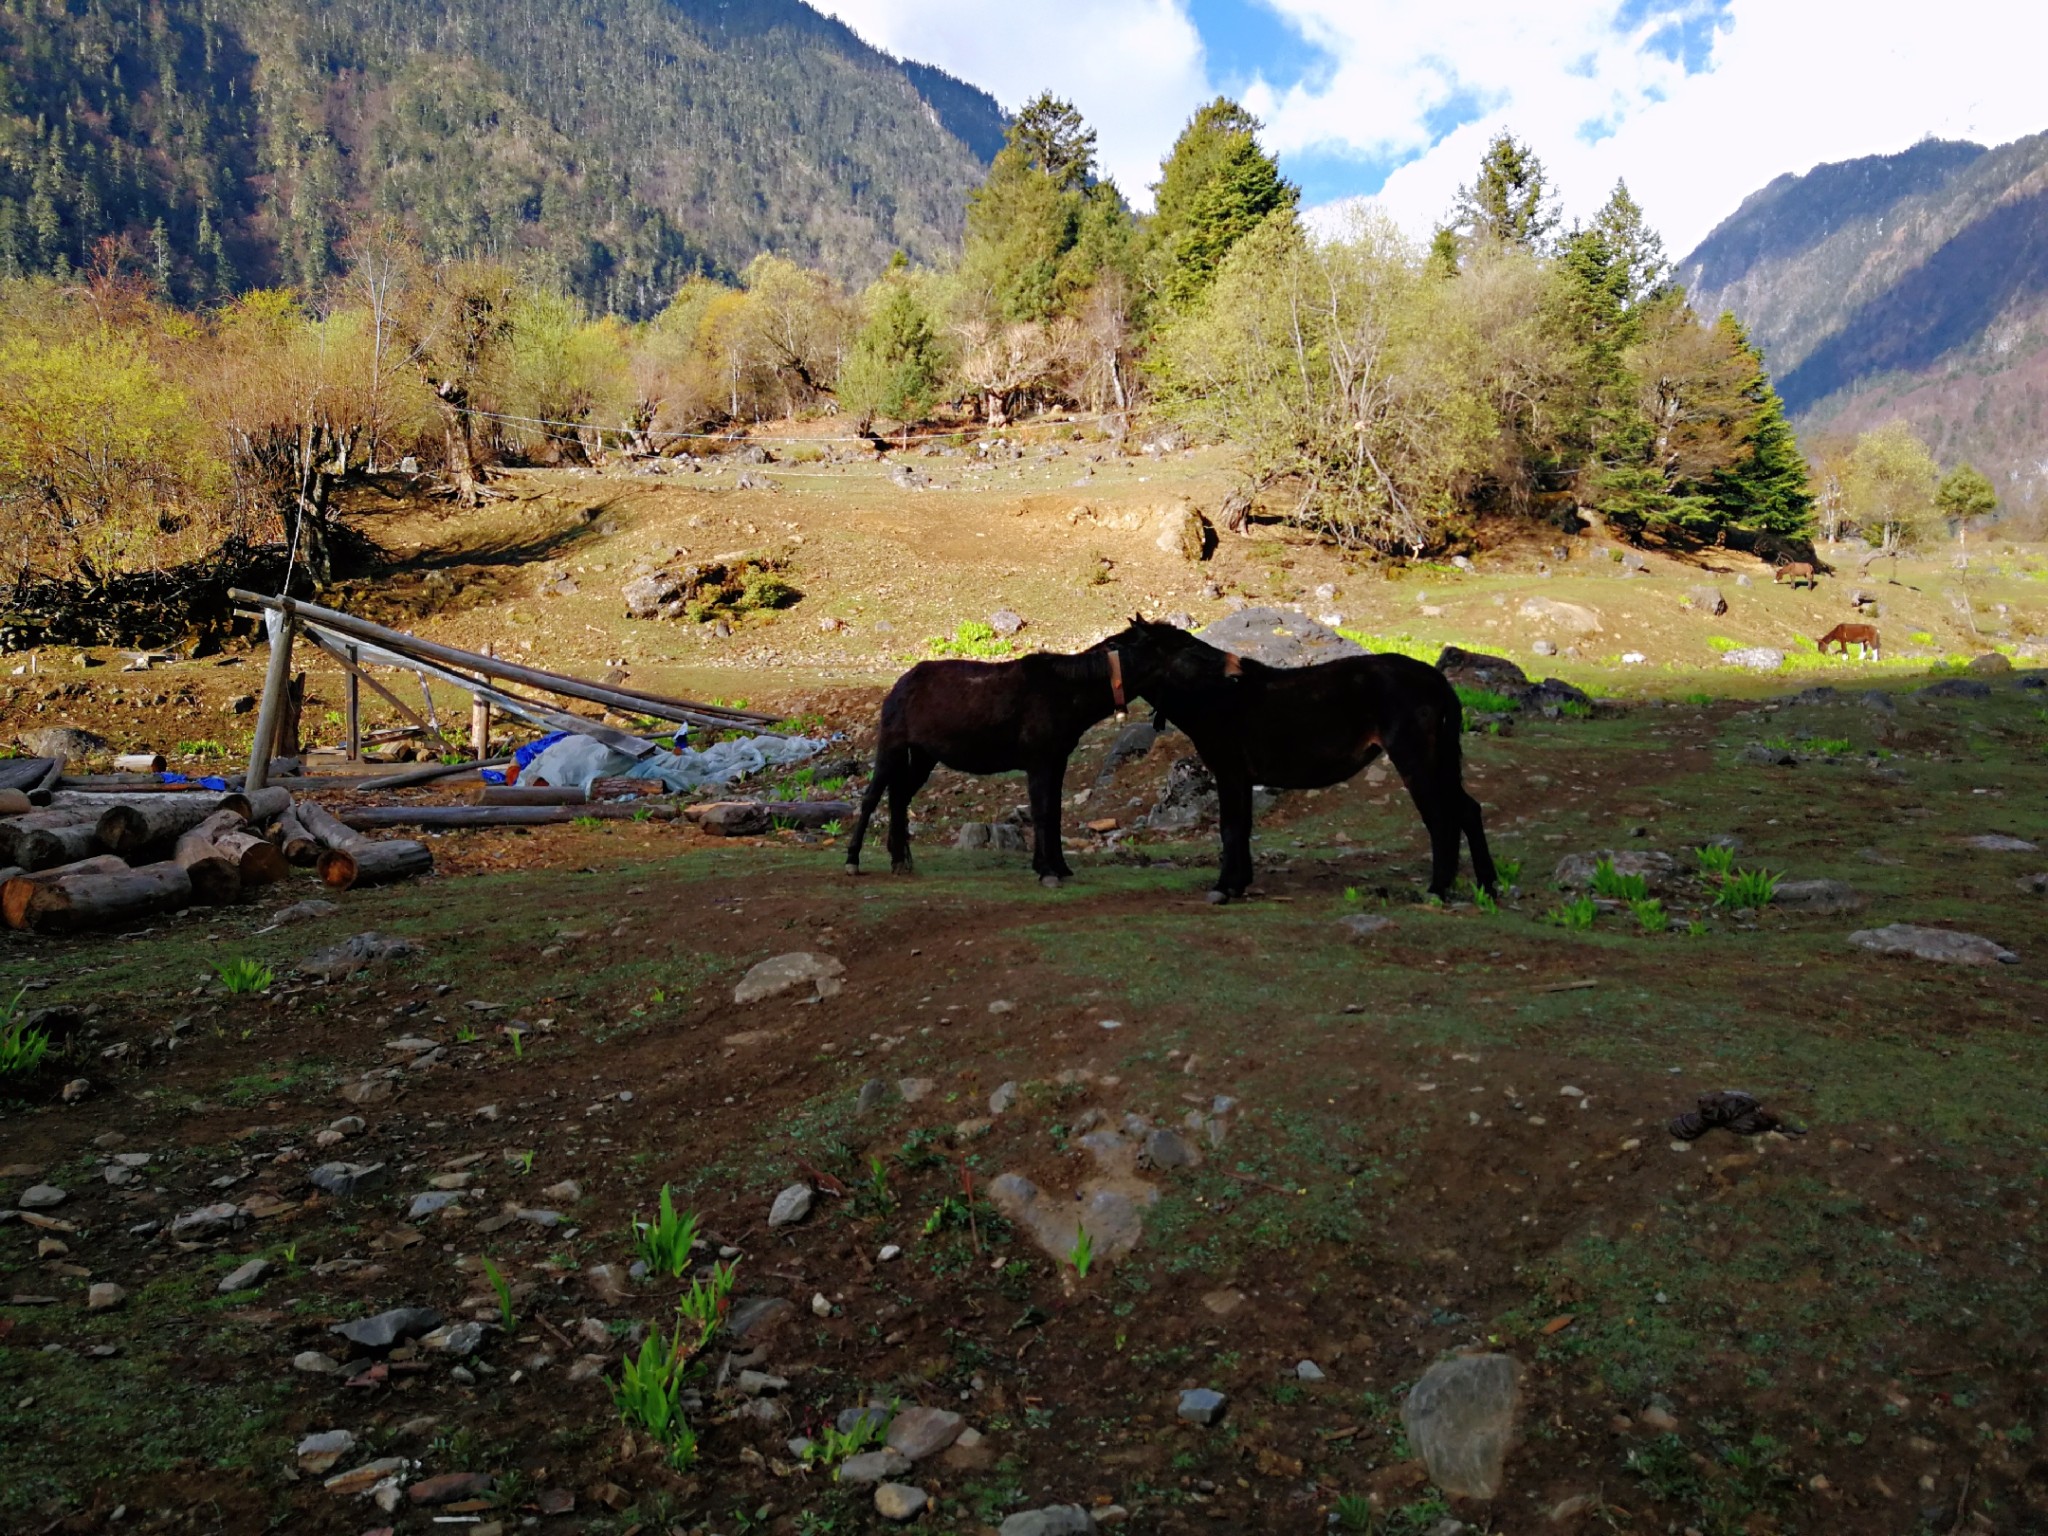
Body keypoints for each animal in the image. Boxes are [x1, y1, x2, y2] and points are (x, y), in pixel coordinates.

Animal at [843, 638, 1138, 888]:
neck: (1063, 690)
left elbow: (1053, 812)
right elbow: (1043, 812)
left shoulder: (1057, 762)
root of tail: (900, 684)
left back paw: (899, 860)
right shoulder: (1041, 763)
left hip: (923, 757)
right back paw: (853, 860)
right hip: (891, 747)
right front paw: (1047, 870)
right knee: (871, 798)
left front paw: (1057, 867)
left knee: (898, 797)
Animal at [1105, 618, 1507, 901]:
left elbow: (1230, 829)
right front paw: (1239, 884)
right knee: (1467, 810)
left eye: (1116, 646)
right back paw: (1487, 885)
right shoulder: (1242, 779)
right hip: (1440, 760)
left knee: (1441, 818)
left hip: (1416, 759)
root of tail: (1438, 680)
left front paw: (1224, 887)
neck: (1213, 692)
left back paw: (1438, 889)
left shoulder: (1229, 774)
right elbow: (1243, 828)